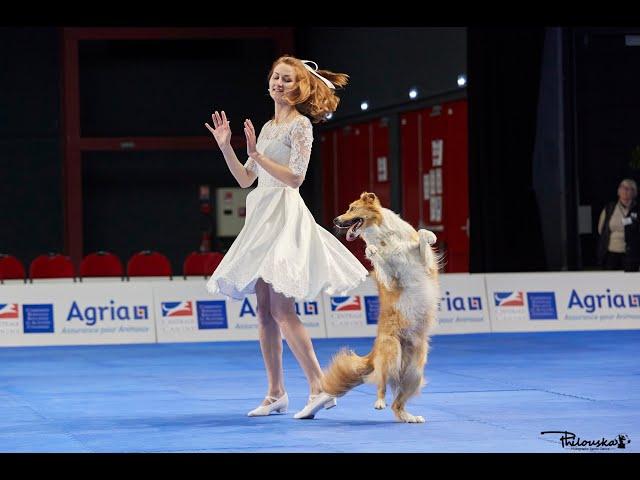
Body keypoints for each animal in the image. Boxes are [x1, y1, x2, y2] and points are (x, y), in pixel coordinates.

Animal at [296, 192, 440, 424]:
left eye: (352, 209)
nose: (336, 220)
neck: (386, 236)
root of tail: (373, 353)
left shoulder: (425, 265)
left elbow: (421, 235)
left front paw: (429, 236)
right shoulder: (392, 282)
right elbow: (379, 260)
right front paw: (372, 250)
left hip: (414, 373)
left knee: (397, 403)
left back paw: (409, 416)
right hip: (391, 351)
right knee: (382, 384)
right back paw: (379, 402)